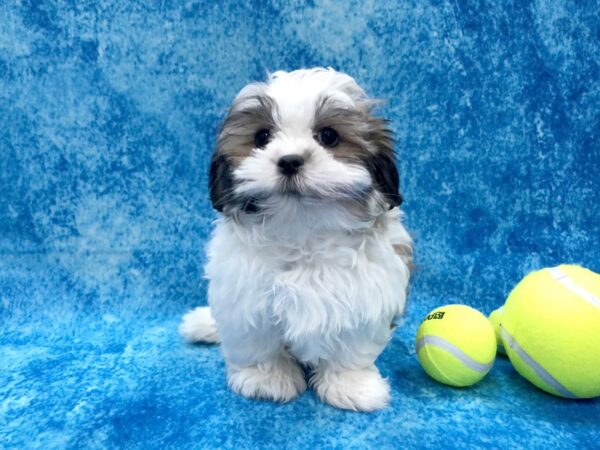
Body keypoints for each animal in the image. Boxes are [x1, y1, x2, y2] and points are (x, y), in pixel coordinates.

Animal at [179, 67, 412, 412]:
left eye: (328, 136)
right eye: (262, 137)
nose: (289, 160)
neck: (302, 230)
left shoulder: (365, 291)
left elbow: (351, 345)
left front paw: (351, 384)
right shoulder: (245, 299)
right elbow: (259, 342)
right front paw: (266, 378)